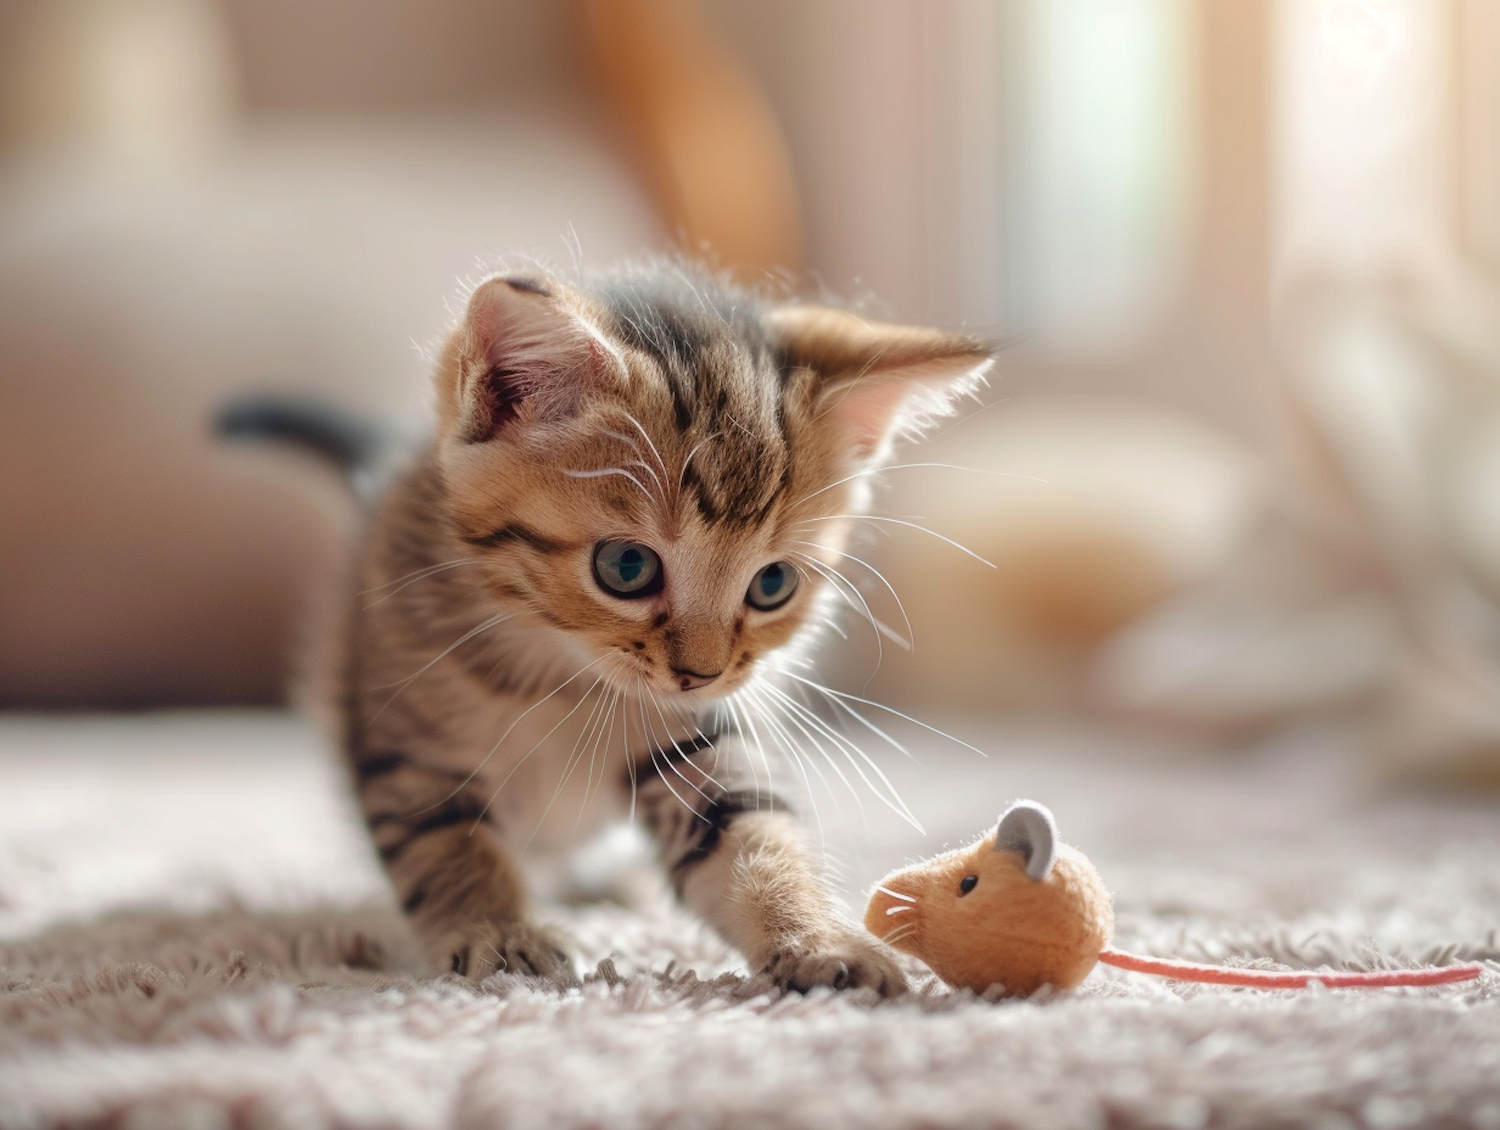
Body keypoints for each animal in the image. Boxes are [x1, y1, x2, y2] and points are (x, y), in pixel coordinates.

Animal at [228, 259, 990, 990]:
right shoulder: (408, 738)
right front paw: (495, 931)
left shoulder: (702, 735)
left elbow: (749, 832)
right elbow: (445, 844)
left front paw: (815, 937)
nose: (701, 673)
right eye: (627, 566)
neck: (560, 670)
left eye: (772, 585)